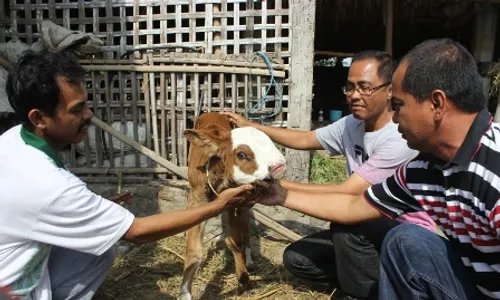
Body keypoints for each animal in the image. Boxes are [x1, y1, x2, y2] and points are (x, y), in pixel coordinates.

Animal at [179, 112, 286, 300]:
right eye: (242, 154)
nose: (279, 166)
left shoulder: (236, 200)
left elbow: (235, 241)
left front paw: (243, 278)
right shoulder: (197, 199)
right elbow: (193, 252)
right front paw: (185, 293)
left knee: (245, 228)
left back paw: (249, 259)